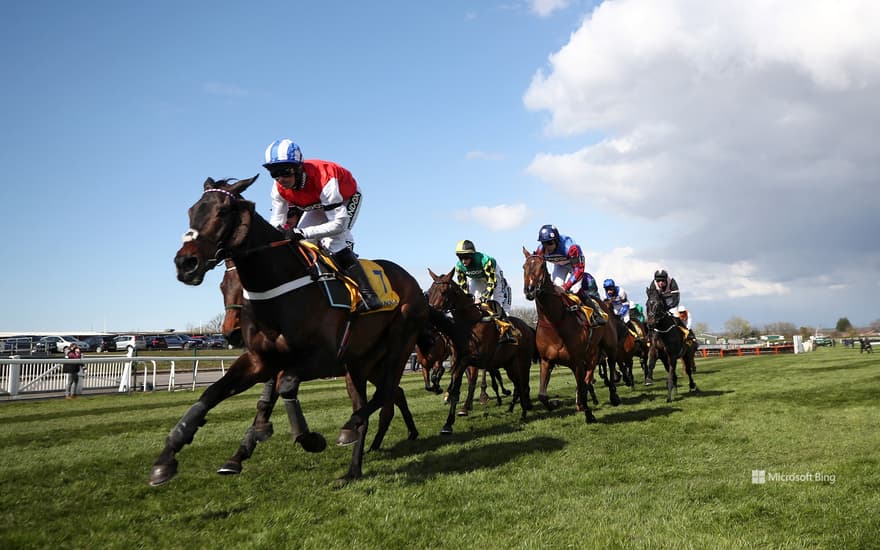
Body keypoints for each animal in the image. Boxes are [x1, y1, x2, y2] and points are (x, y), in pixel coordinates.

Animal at [152, 176, 430, 488]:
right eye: (191, 210)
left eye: (222, 211)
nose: (185, 263)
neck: (279, 290)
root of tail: (413, 283)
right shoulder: (262, 360)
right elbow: (212, 393)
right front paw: (168, 456)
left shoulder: (324, 358)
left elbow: (285, 387)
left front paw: (306, 437)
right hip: (360, 363)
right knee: (375, 399)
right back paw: (353, 468)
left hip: (399, 343)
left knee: (385, 392)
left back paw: (349, 428)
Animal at [426, 268, 536, 436]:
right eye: (429, 291)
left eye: (443, 292)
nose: (430, 318)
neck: (470, 322)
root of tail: (528, 328)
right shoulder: (457, 359)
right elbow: (455, 385)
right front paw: (449, 421)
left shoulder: (477, 358)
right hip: (510, 365)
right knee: (518, 384)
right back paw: (519, 409)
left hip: (522, 362)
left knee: (523, 384)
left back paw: (524, 409)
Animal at [520, 248, 624, 424]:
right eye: (524, 267)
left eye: (542, 266)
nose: (530, 290)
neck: (555, 321)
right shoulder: (546, 361)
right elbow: (542, 396)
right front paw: (555, 403)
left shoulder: (577, 361)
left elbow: (582, 391)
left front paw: (588, 412)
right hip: (590, 353)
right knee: (589, 376)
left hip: (609, 345)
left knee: (610, 365)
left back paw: (613, 395)